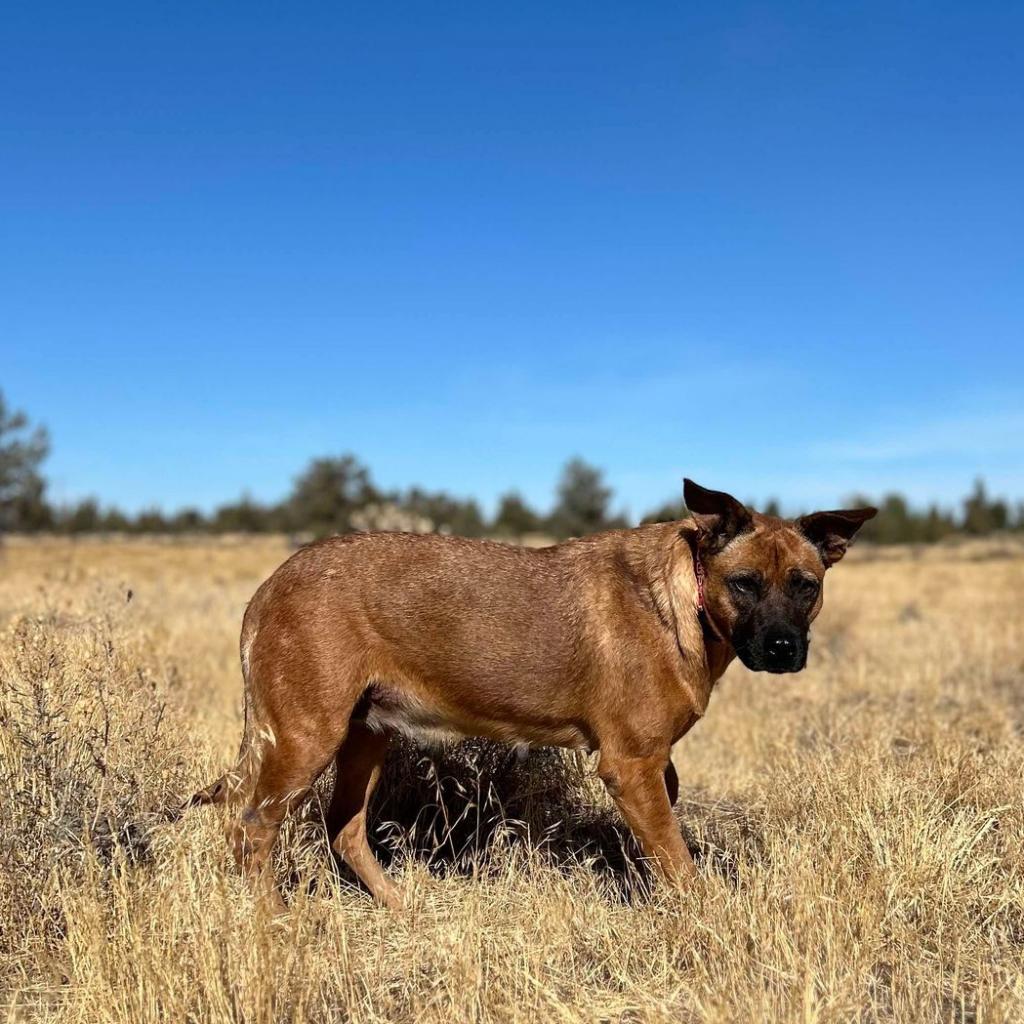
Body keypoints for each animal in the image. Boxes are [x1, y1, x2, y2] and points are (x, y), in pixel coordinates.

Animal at [190, 475, 872, 909]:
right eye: (745, 582)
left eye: (806, 585)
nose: (784, 649)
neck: (688, 599)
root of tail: (269, 586)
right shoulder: (632, 764)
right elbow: (679, 861)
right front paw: (708, 922)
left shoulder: (656, 768)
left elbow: (661, 847)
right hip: (307, 736)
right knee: (251, 828)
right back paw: (274, 920)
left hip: (365, 733)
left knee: (343, 827)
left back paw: (403, 905)